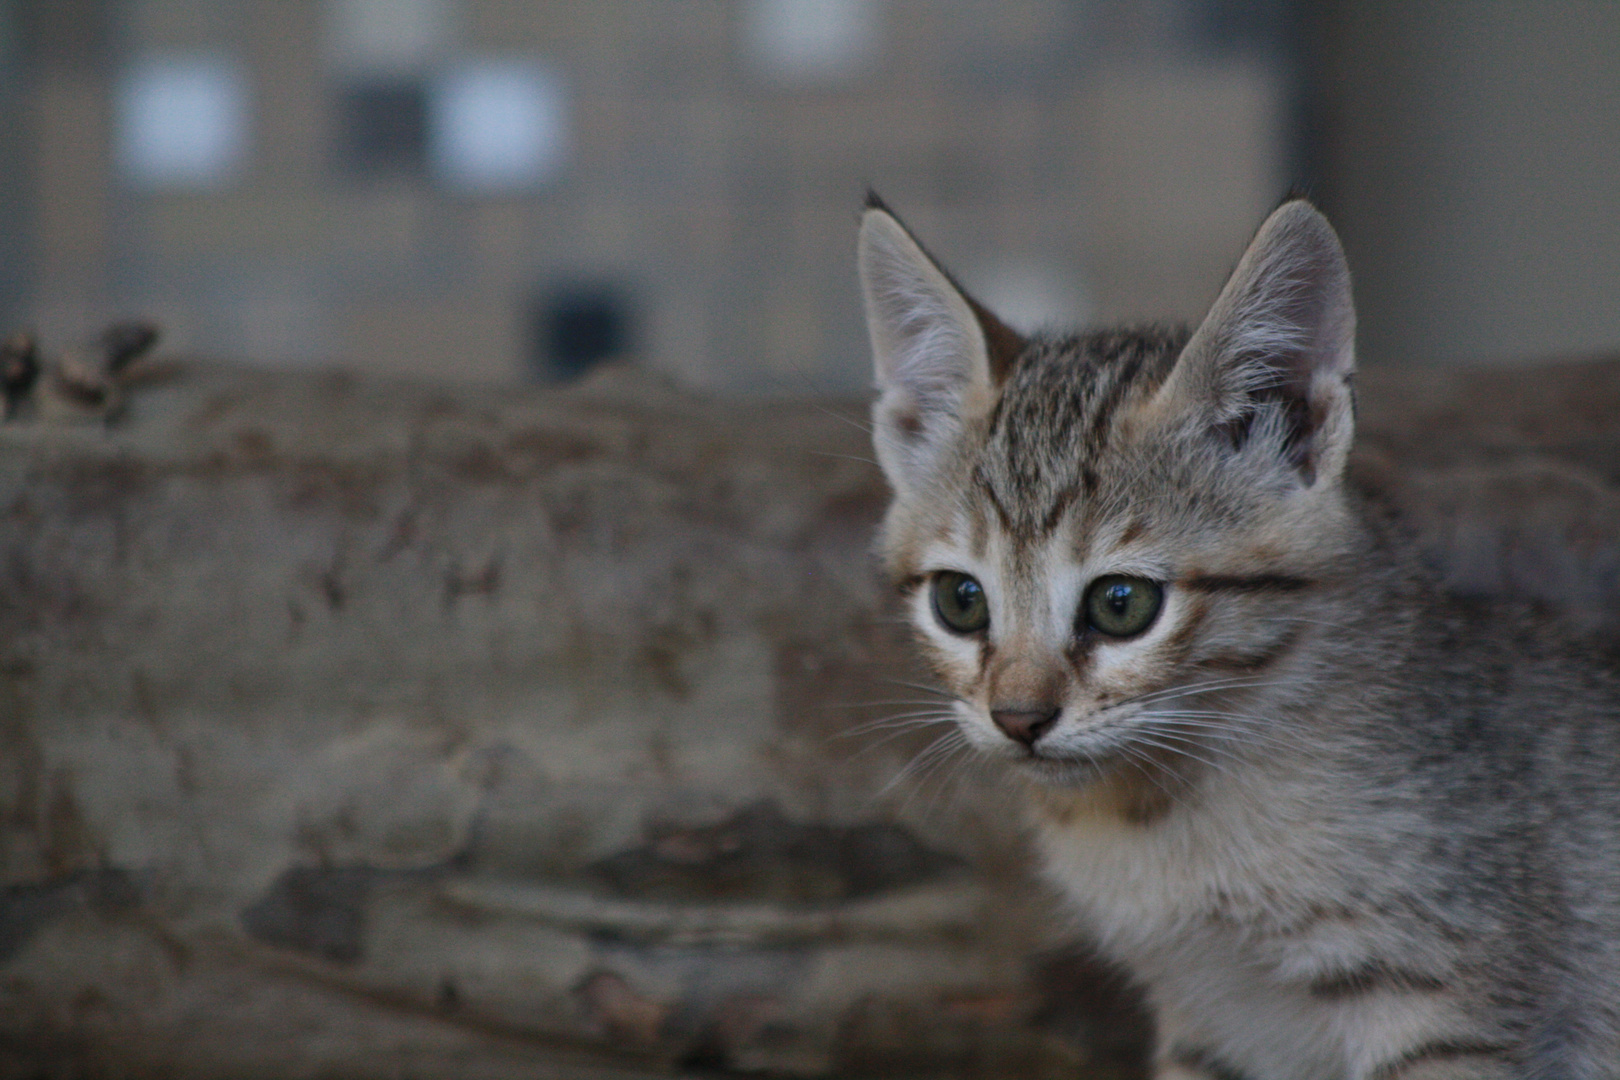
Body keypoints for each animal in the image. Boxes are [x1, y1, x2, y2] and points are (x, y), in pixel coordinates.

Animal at [868, 196, 1620, 1080]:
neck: (1156, 818)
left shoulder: (1445, 1002)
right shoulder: (1208, 1023)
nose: (1017, 719)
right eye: (961, 601)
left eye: (1121, 603)